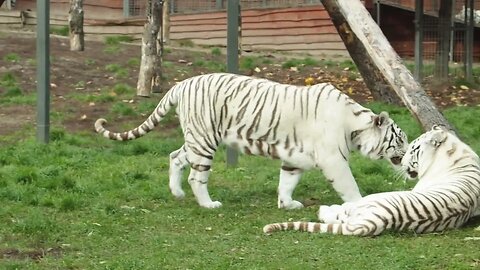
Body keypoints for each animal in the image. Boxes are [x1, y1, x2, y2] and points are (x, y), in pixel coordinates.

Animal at [95, 72, 406, 209]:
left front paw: (287, 205)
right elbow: (349, 186)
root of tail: (181, 84)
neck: (354, 126)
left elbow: (287, 182)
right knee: (197, 176)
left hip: (196, 138)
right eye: (400, 140)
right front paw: (361, 204)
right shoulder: (334, 160)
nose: (410, 162)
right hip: (205, 139)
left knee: (175, 157)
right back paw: (208, 204)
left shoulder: (295, 158)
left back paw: (177, 193)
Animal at [262, 125, 480, 235]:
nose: (402, 162)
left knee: (340, 213)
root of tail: (378, 220)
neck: (457, 154)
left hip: (367, 201)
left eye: (413, 149)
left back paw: (324, 209)